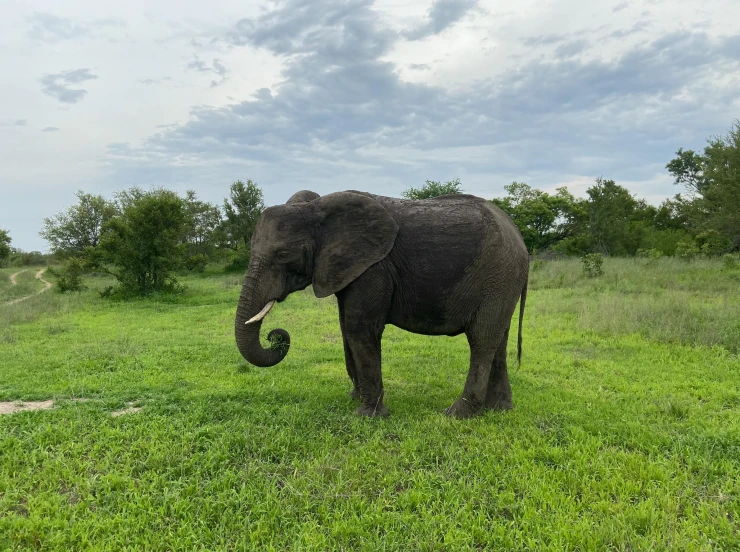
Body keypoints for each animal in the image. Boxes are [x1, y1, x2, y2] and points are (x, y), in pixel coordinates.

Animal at [234, 191, 528, 418]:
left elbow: (359, 329)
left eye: (283, 255)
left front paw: (367, 415)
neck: (318, 210)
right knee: (498, 341)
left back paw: (458, 414)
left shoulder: (374, 269)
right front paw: (355, 397)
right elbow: (345, 329)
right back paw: (499, 409)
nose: (275, 336)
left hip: (497, 276)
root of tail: (520, 239)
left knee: (481, 340)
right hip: (503, 282)